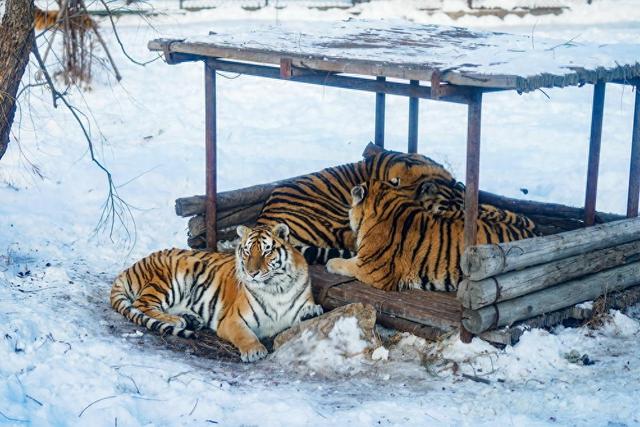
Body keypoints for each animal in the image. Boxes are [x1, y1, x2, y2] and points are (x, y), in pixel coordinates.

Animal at [110, 223, 323, 362]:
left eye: (266, 252)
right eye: (247, 252)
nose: (251, 273)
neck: (275, 287)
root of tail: (134, 266)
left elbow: (307, 311)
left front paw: (311, 311)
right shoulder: (232, 320)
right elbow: (245, 335)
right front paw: (254, 351)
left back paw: (191, 319)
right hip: (169, 281)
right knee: (141, 304)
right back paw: (177, 320)